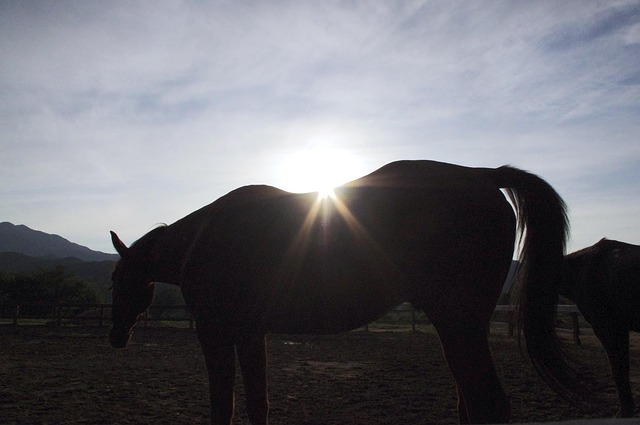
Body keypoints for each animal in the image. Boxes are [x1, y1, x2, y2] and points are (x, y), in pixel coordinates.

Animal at [109, 159, 581, 424]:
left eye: (117, 280)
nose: (115, 337)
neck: (200, 241)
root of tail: (484, 176)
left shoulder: (215, 333)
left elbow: (221, 407)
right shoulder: (249, 334)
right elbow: (258, 404)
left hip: (457, 320)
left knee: (489, 407)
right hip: (461, 327)